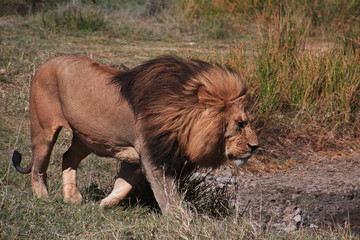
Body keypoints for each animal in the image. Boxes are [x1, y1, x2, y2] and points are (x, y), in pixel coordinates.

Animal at [11, 54, 258, 212]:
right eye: (240, 123)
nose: (255, 147)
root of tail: (47, 62)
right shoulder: (154, 157)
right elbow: (168, 195)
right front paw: (182, 221)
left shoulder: (139, 158)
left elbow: (123, 186)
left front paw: (102, 206)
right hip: (43, 129)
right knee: (39, 166)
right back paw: (43, 198)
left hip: (86, 139)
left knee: (67, 158)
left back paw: (72, 198)